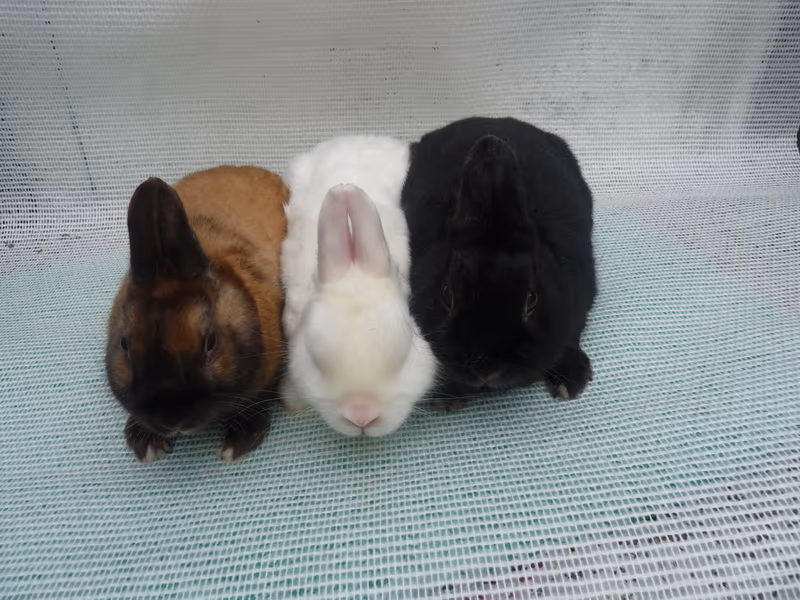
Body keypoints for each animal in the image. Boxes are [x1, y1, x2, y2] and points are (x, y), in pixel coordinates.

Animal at [106, 166, 287, 463]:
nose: (171, 418)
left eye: (210, 343)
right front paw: (146, 444)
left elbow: (257, 401)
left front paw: (237, 444)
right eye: (124, 344)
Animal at [401, 117, 596, 405]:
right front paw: (447, 396)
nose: (486, 370)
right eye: (447, 295)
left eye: (531, 300)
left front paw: (571, 380)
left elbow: (570, 335)